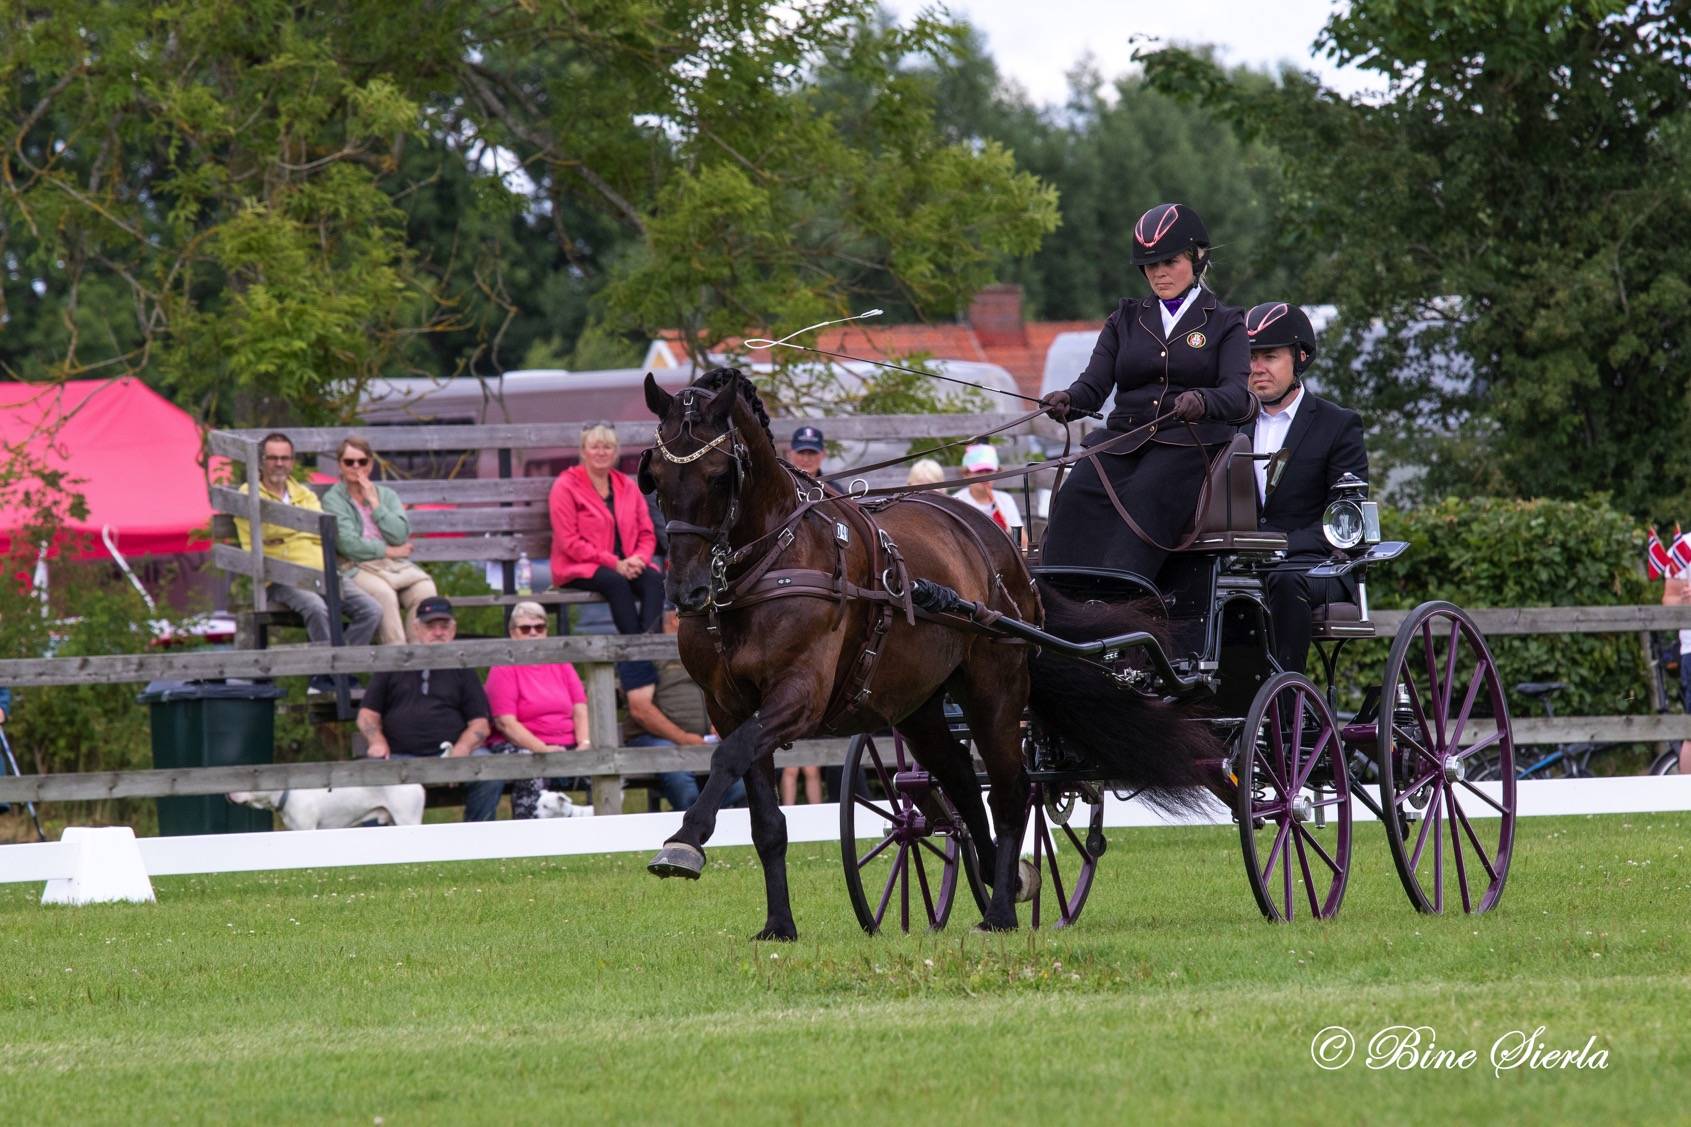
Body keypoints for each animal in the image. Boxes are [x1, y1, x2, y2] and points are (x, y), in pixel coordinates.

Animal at [638, 367, 1216, 937]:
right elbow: (764, 819)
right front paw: (778, 925)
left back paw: (1002, 910)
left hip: (995, 690)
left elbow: (727, 755)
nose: (686, 591)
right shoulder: (728, 705)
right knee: (961, 779)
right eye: (657, 479)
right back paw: (999, 883)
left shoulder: (799, 695)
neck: (768, 567)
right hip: (918, 705)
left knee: (1010, 791)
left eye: (719, 475)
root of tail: (1012, 555)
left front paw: (682, 844)